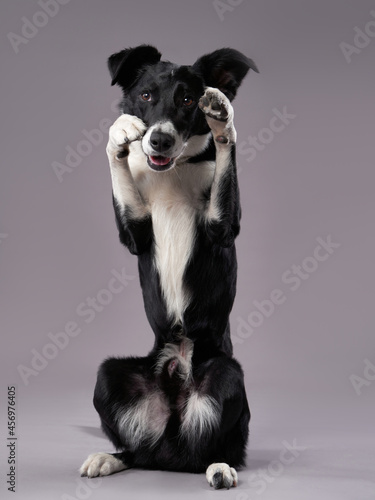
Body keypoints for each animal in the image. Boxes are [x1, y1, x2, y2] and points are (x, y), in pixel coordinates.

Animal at [80, 45, 258, 490]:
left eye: (188, 99)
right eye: (145, 95)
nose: (158, 138)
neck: (174, 170)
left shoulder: (221, 227)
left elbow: (225, 154)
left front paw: (222, 117)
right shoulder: (135, 234)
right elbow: (120, 163)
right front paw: (120, 134)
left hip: (227, 374)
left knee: (210, 449)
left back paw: (219, 467)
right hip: (108, 375)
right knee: (139, 451)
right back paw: (109, 459)